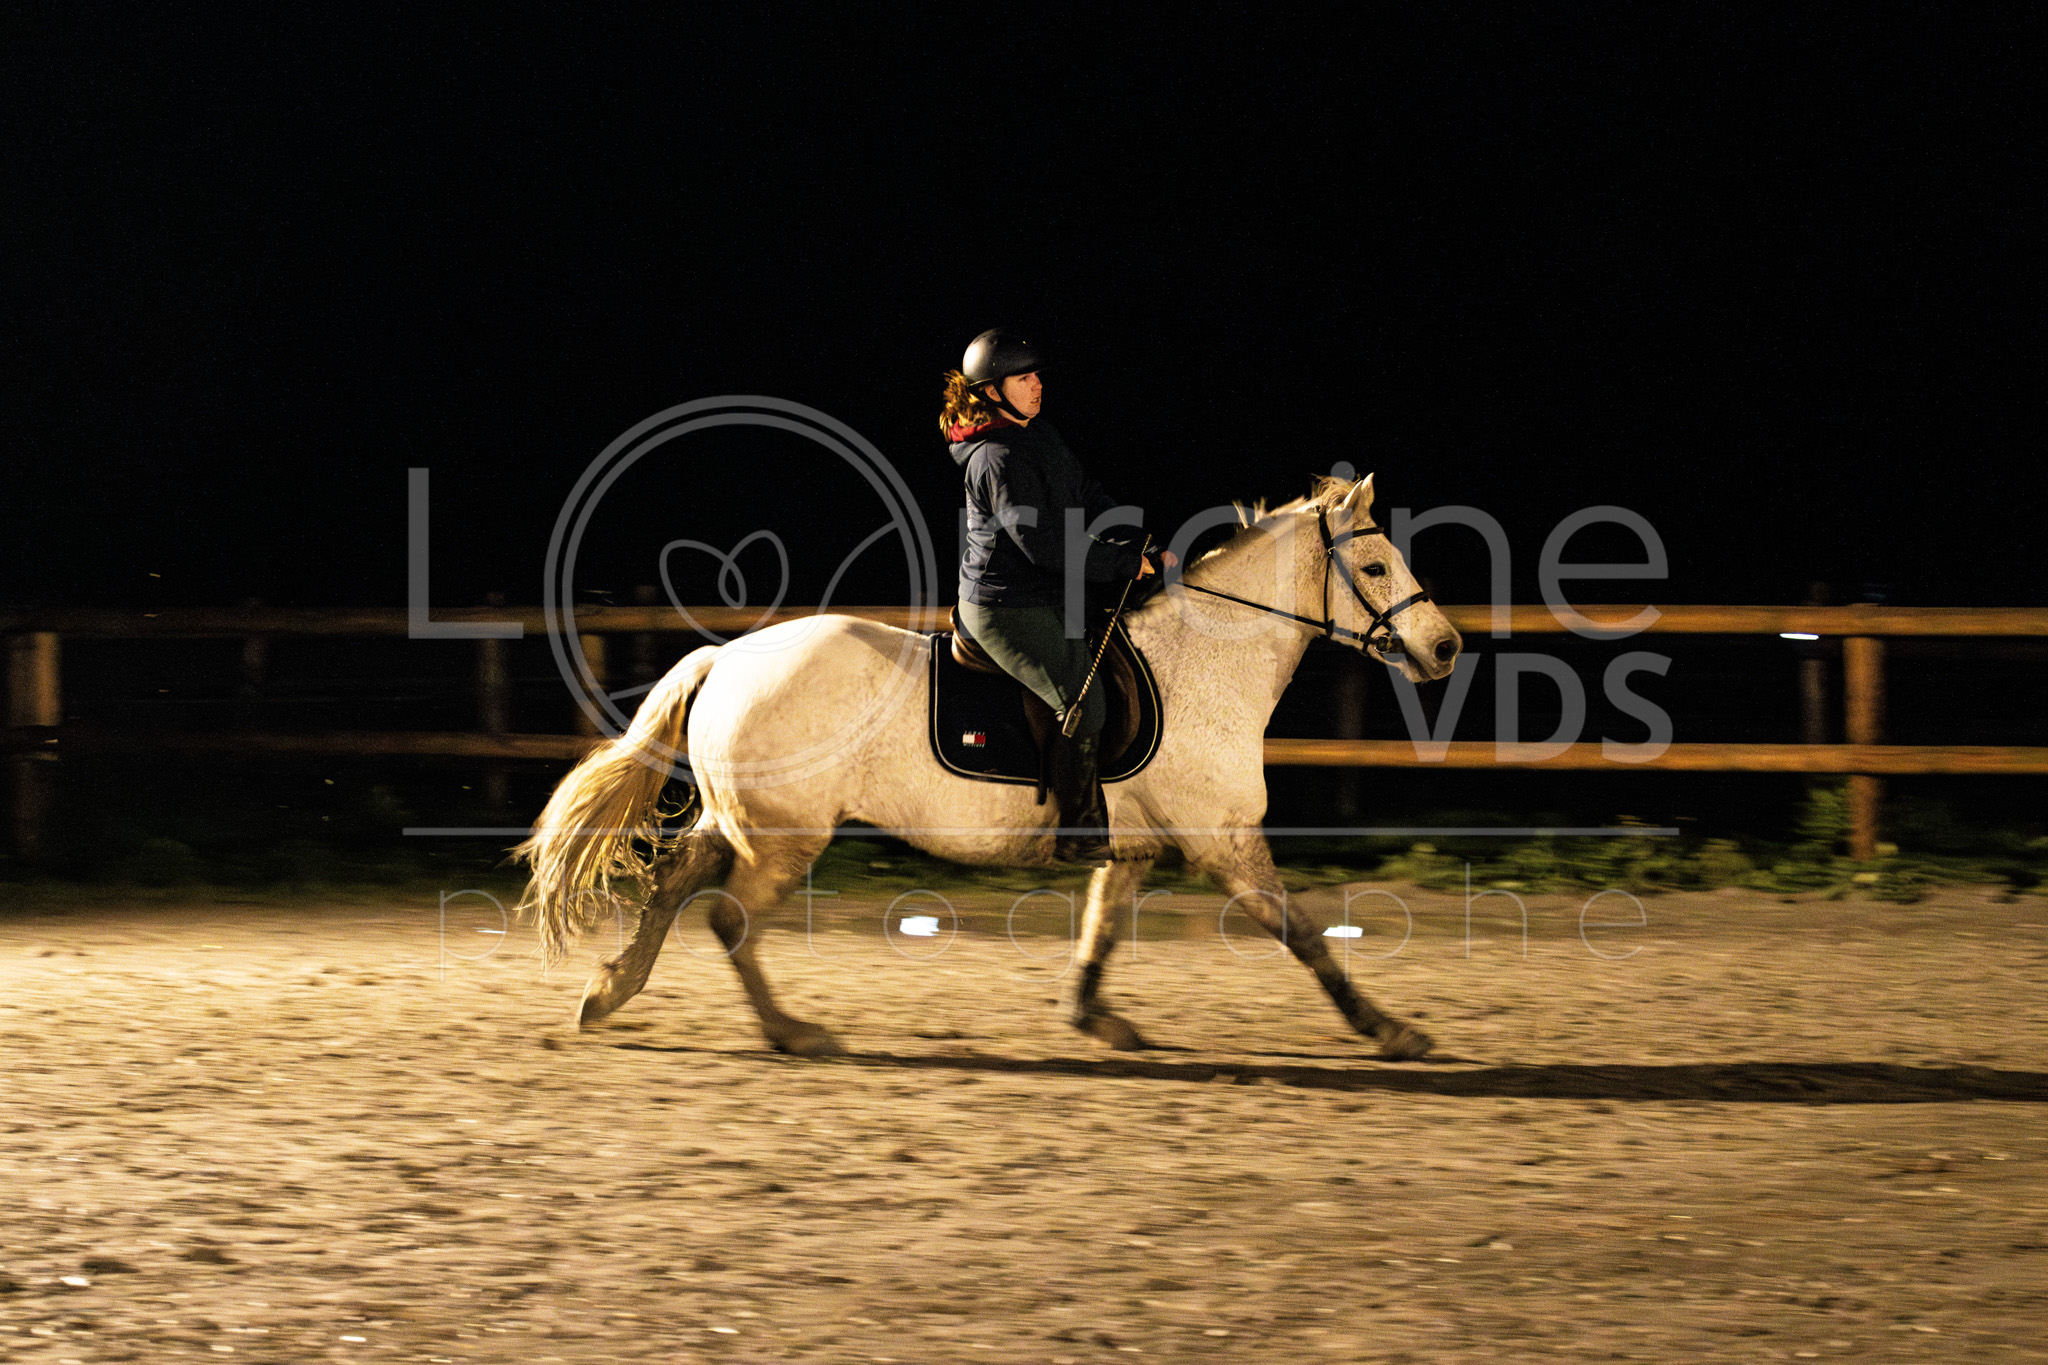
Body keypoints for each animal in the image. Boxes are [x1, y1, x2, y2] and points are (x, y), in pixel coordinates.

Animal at [513, 473, 1462, 1059]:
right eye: (1375, 564)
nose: (1446, 647)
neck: (1205, 664)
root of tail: (725, 658)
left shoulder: (1137, 844)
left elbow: (1101, 928)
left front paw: (1093, 1017)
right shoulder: (1224, 838)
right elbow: (1305, 935)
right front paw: (1391, 1030)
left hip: (742, 818)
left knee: (675, 883)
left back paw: (611, 990)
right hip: (785, 834)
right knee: (728, 918)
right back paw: (791, 1032)